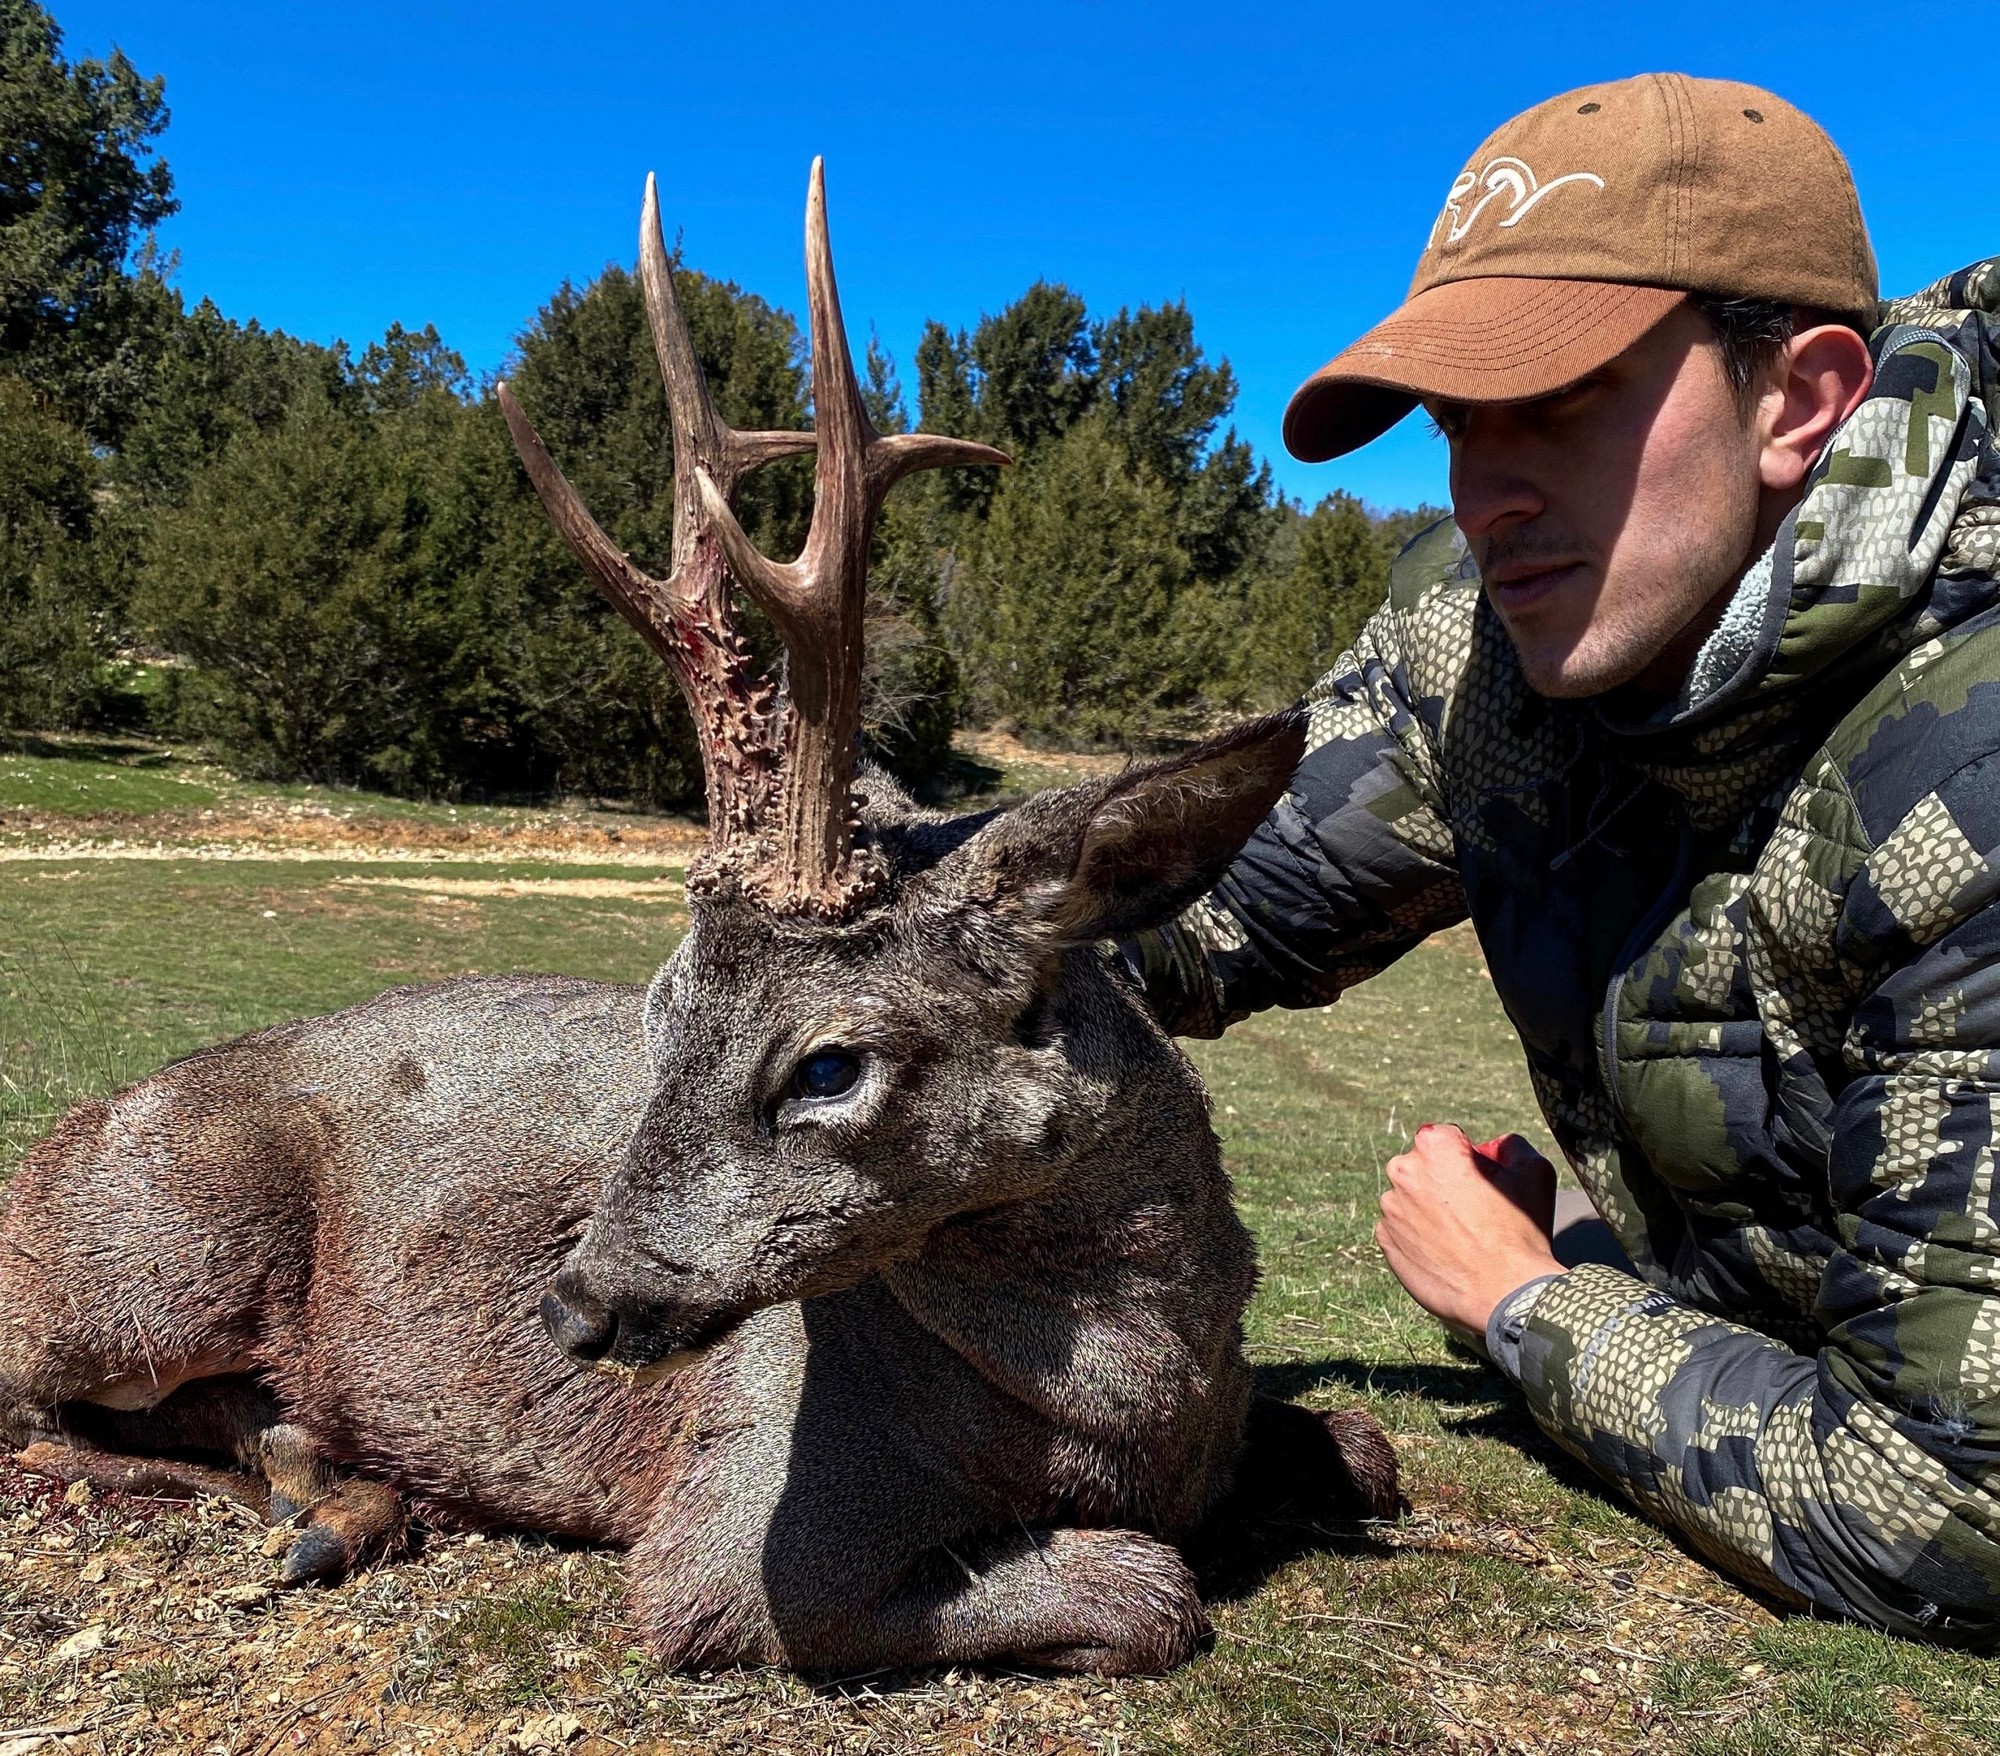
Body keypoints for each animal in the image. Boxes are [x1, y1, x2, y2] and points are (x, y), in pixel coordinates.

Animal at [0, 162, 1398, 1675]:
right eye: (658, 1018)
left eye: (831, 1063)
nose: (572, 1303)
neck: (1147, 1409)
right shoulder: (746, 1535)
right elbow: (1154, 1588)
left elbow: (1365, 1445)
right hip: (153, 1257)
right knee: (35, 1412)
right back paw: (309, 1500)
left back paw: (331, 1481)